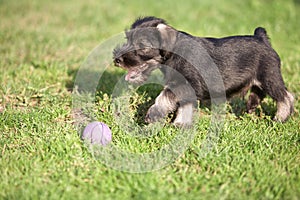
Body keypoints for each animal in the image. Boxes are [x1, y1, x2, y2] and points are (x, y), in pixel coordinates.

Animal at [113, 16, 294, 126]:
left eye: (142, 45)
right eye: (127, 40)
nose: (117, 59)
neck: (174, 52)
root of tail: (262, 38)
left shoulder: (187, 83)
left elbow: (165, 96)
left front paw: (154, 114)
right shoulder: (186, 88)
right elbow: (185, 105)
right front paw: (180, 124)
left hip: (269, 77)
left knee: (285, 96)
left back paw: (280, 118)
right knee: (259, 93)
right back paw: (250, 108)